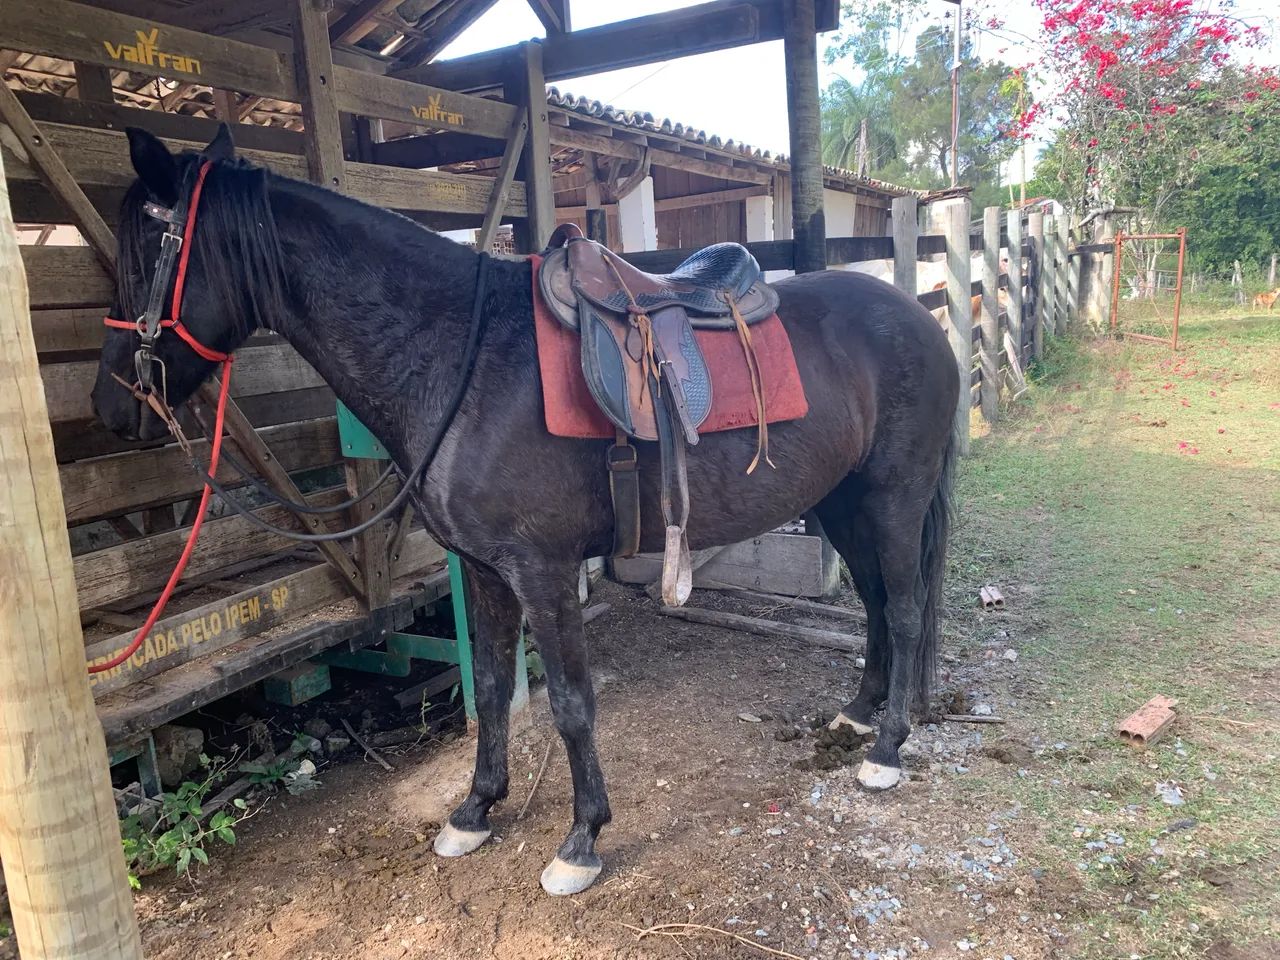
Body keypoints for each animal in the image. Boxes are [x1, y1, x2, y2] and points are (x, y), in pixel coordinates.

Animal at [92, 126, 959, 896]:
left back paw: (886, 748)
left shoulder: (540, 569)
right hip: (844, 503)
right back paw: (858, 713)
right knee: (876, 605)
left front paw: (582, 839)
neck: (463, 360)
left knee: (906, 608)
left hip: (893, 498)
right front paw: (475, 809)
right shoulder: (483, 568)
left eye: (140, 254)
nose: (111, 405)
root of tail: (924, 318)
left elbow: (573, 705)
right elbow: (486, 688)